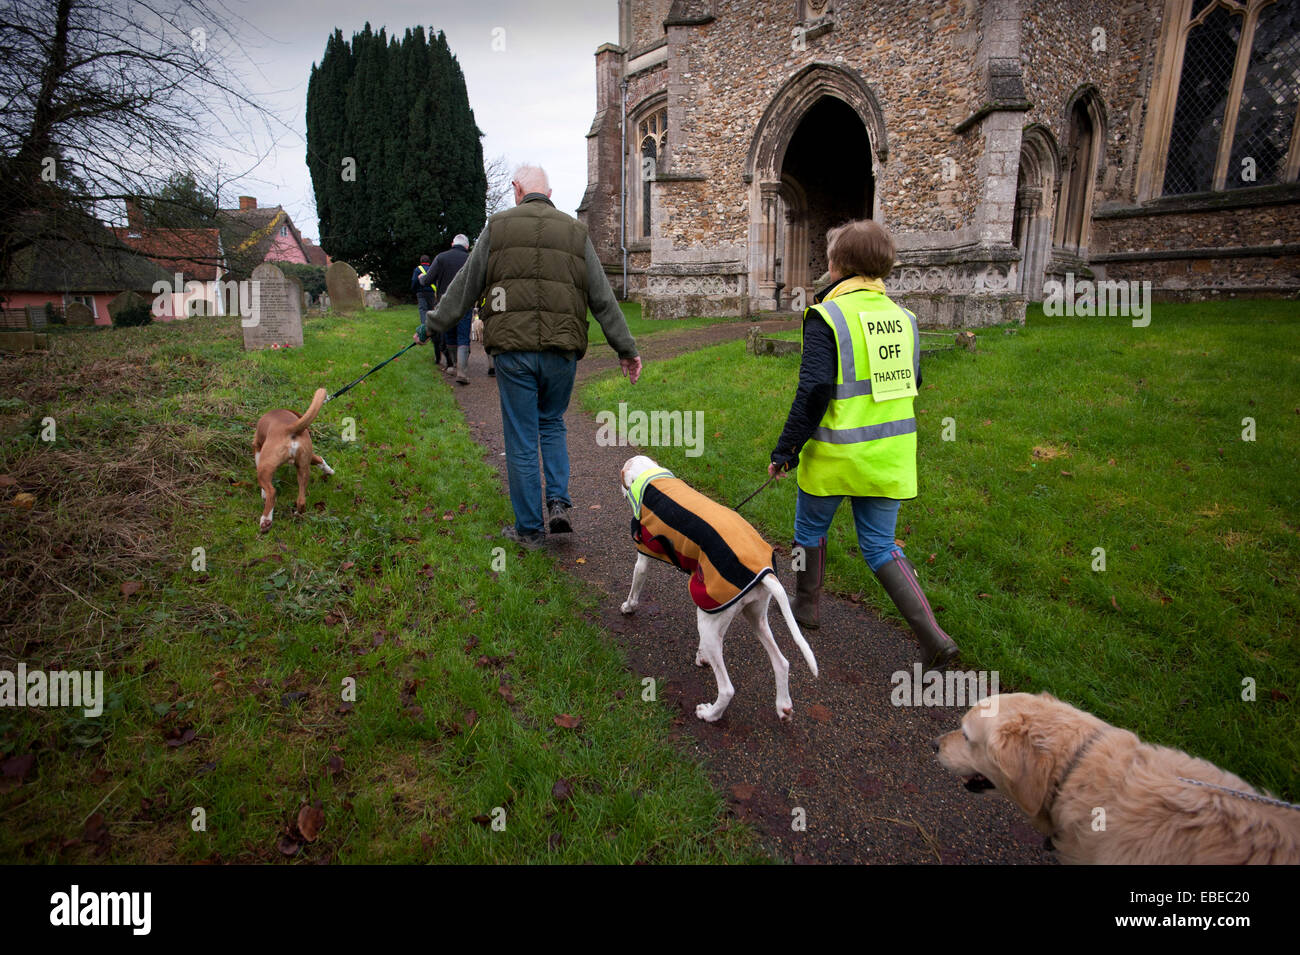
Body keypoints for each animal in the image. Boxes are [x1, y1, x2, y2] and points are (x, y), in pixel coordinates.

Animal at [252, 389, 332, 537]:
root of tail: (288, 428)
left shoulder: (257, 448)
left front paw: (263, 493)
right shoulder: (309, 457)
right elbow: (319, 459)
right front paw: (329, 470)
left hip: (264, 468)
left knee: (272, 492)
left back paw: (266, 521)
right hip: (303, 468)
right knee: (301, 500)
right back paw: (297, 514)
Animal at [616, 457, 816, 722]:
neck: (653, 478)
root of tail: (764, 571)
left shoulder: (643, 557)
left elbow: (635, 589)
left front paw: (628, 608)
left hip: (711, 618)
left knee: (727, 688)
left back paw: (710, 714)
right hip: (750, 617)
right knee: (782, 663)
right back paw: (783, 706)